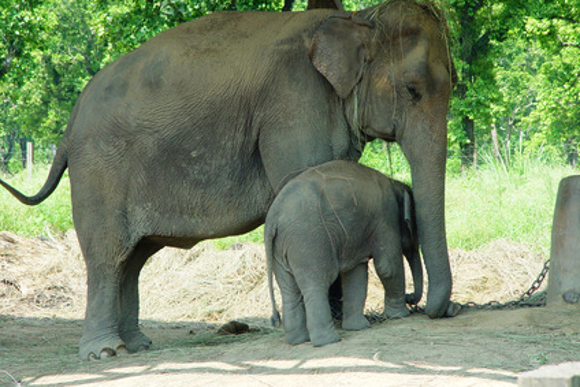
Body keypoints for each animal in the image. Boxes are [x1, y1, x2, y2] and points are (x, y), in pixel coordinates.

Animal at [266, 159, 422, 348]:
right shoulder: (385, 217)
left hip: (280, 249)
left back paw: (297, 341)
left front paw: (359, 327)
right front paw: (399, 315)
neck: (394, 183)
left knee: (289, 291)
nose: (410, 298)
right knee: (316, 285)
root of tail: (272, 220)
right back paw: (328, 341)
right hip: (308, 243)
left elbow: (356, 274)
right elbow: (387, 266)